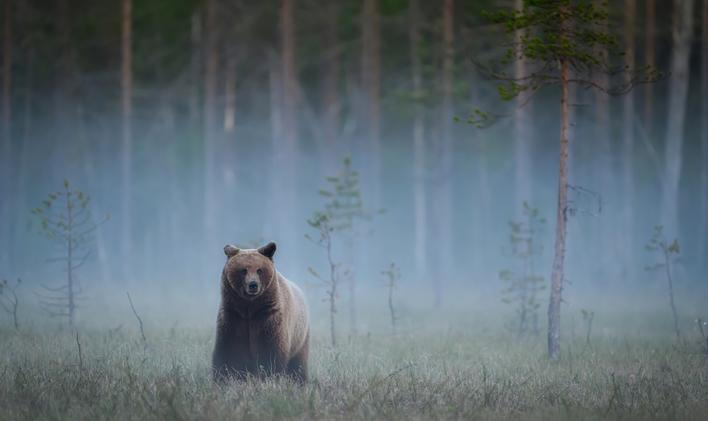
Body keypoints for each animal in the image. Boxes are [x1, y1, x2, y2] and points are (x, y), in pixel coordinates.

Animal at [212, 242, 310, 383]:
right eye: (243, 270)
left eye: (259, 270)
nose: (253, 285)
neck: (249, 307)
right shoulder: (233, 315)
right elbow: (228, 349)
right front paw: (224, 377)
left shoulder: (268, 317)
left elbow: (270, 351)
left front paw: (268, 377)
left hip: (300, 336)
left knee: (298, 363)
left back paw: (300, 380)